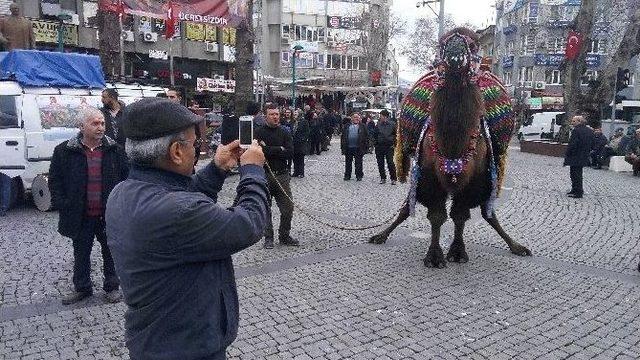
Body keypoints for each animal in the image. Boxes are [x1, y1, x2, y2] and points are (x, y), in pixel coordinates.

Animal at [368, 27, 532, 268]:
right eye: (442, 43)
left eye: (473, 45)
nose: (456, 45)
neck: (454, 146)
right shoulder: (429, 178)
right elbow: (436, 216)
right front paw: (435, 257)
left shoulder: (474, 181)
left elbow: (461, 215)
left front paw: (457, 251)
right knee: (407, 207)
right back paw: (380, 235)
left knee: (488, 213)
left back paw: (517, 246)